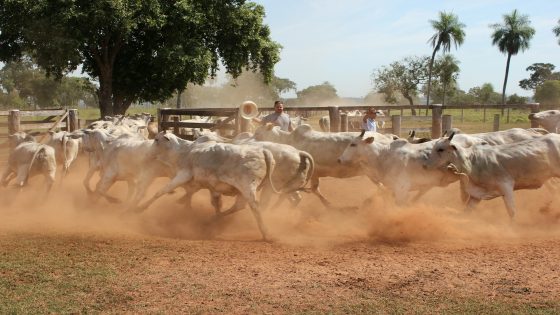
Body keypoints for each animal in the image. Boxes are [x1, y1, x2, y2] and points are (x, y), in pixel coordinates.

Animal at [422, 132, 560, 218]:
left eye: (440, 149)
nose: (425, 165)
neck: (473, 161)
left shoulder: (506, 186)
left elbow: (512, 211)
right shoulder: (476, 195)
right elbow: (466, 211)